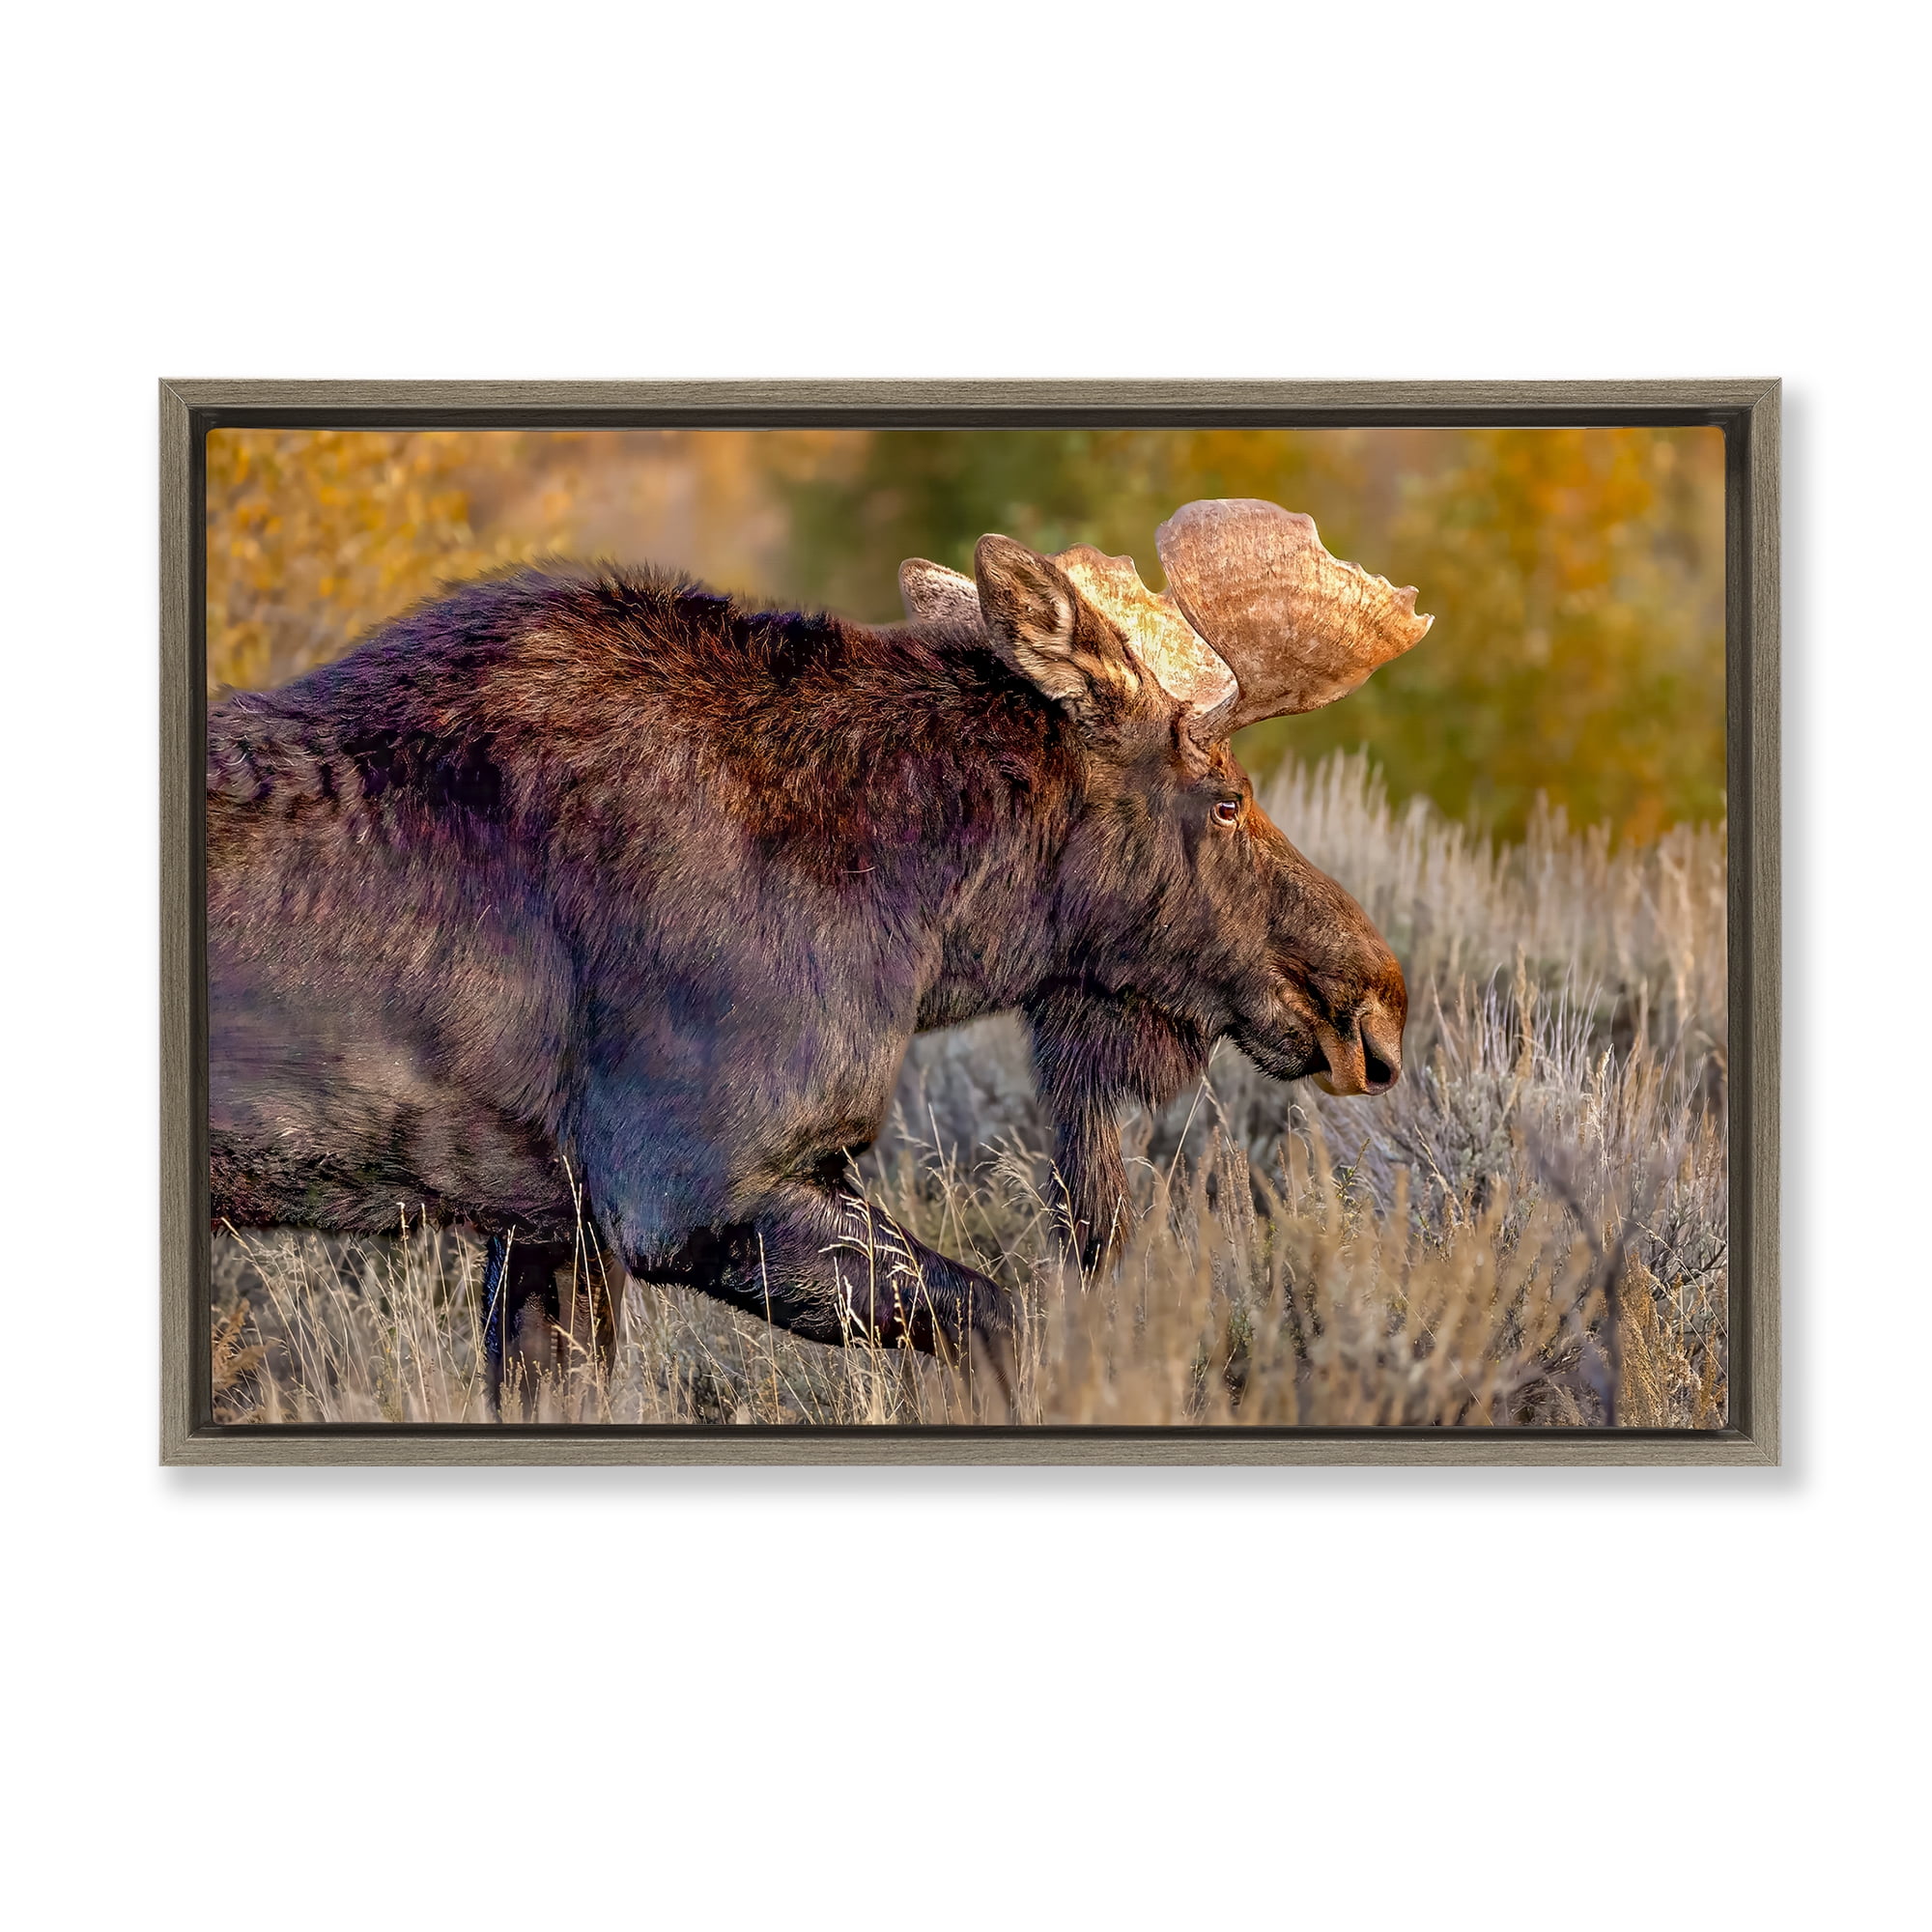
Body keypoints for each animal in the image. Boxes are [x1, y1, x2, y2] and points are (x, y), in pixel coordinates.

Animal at [206, 497, 1430, 1400]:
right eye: (1225, 797)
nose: (1372, 999)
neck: (924, 930)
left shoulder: (552, 1227)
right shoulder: (693, 1189)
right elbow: (1006, 1319)